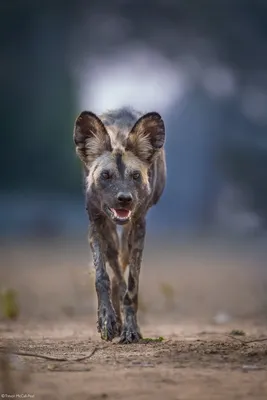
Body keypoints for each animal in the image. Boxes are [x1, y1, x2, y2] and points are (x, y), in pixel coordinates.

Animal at [74, 106, 166, 344]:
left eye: (135, 176)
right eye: (106, 175)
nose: (124, 198)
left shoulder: (138, 226)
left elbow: (131, 286)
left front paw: (130, 328)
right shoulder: (97, 224)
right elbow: (102, 278)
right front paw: (107, 319)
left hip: (126, 235)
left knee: (121, 268)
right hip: (109, 233)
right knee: (114, 266)